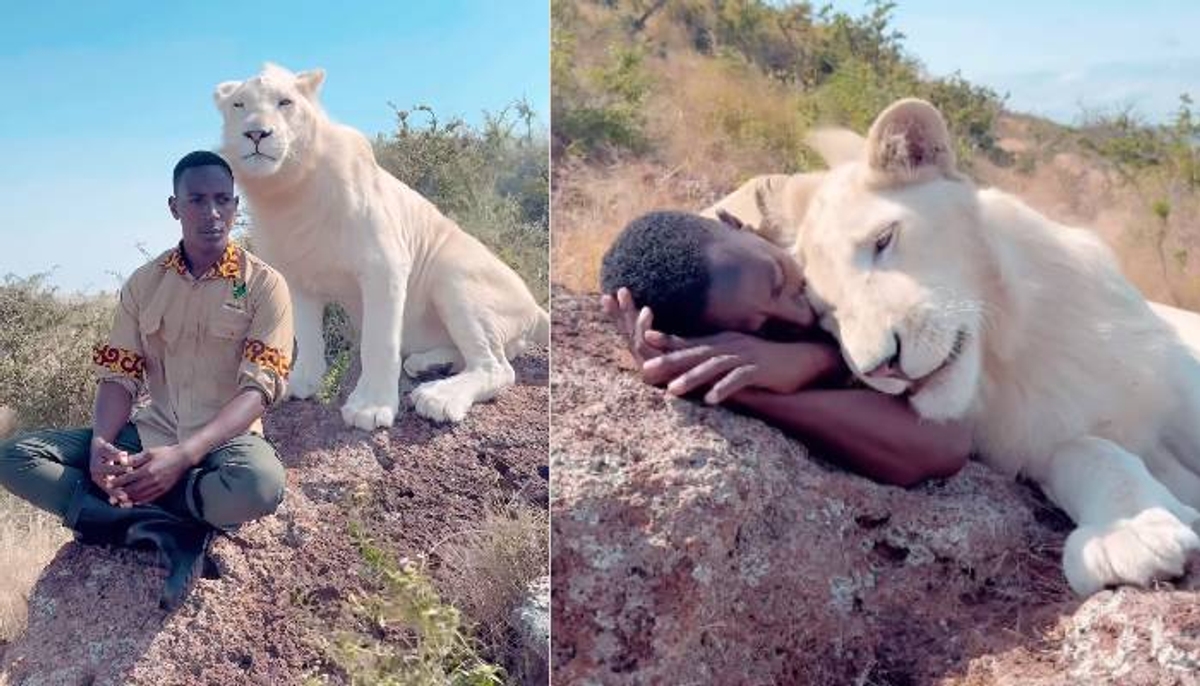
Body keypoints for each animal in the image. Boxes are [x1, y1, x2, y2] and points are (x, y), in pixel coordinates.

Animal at [216, 64, 549, 429]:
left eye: (284, 102)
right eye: (239, 105)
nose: (256, 133)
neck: (288, 191)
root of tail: (535, 307)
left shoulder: (383, 265)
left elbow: (378, 341)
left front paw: (370, 408)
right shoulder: (295, 276)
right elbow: (306, 334)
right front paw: (302, 382)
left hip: (453, 275)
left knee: (498, 367)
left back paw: (439, 396)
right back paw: (430, 364)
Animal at [705, 98, 1200, 597]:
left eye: (883, 240)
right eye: (824, 314)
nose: (881, 366)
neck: (1011, 356)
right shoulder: (1037, 446)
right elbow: (1087, 451)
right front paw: (1129, 533)